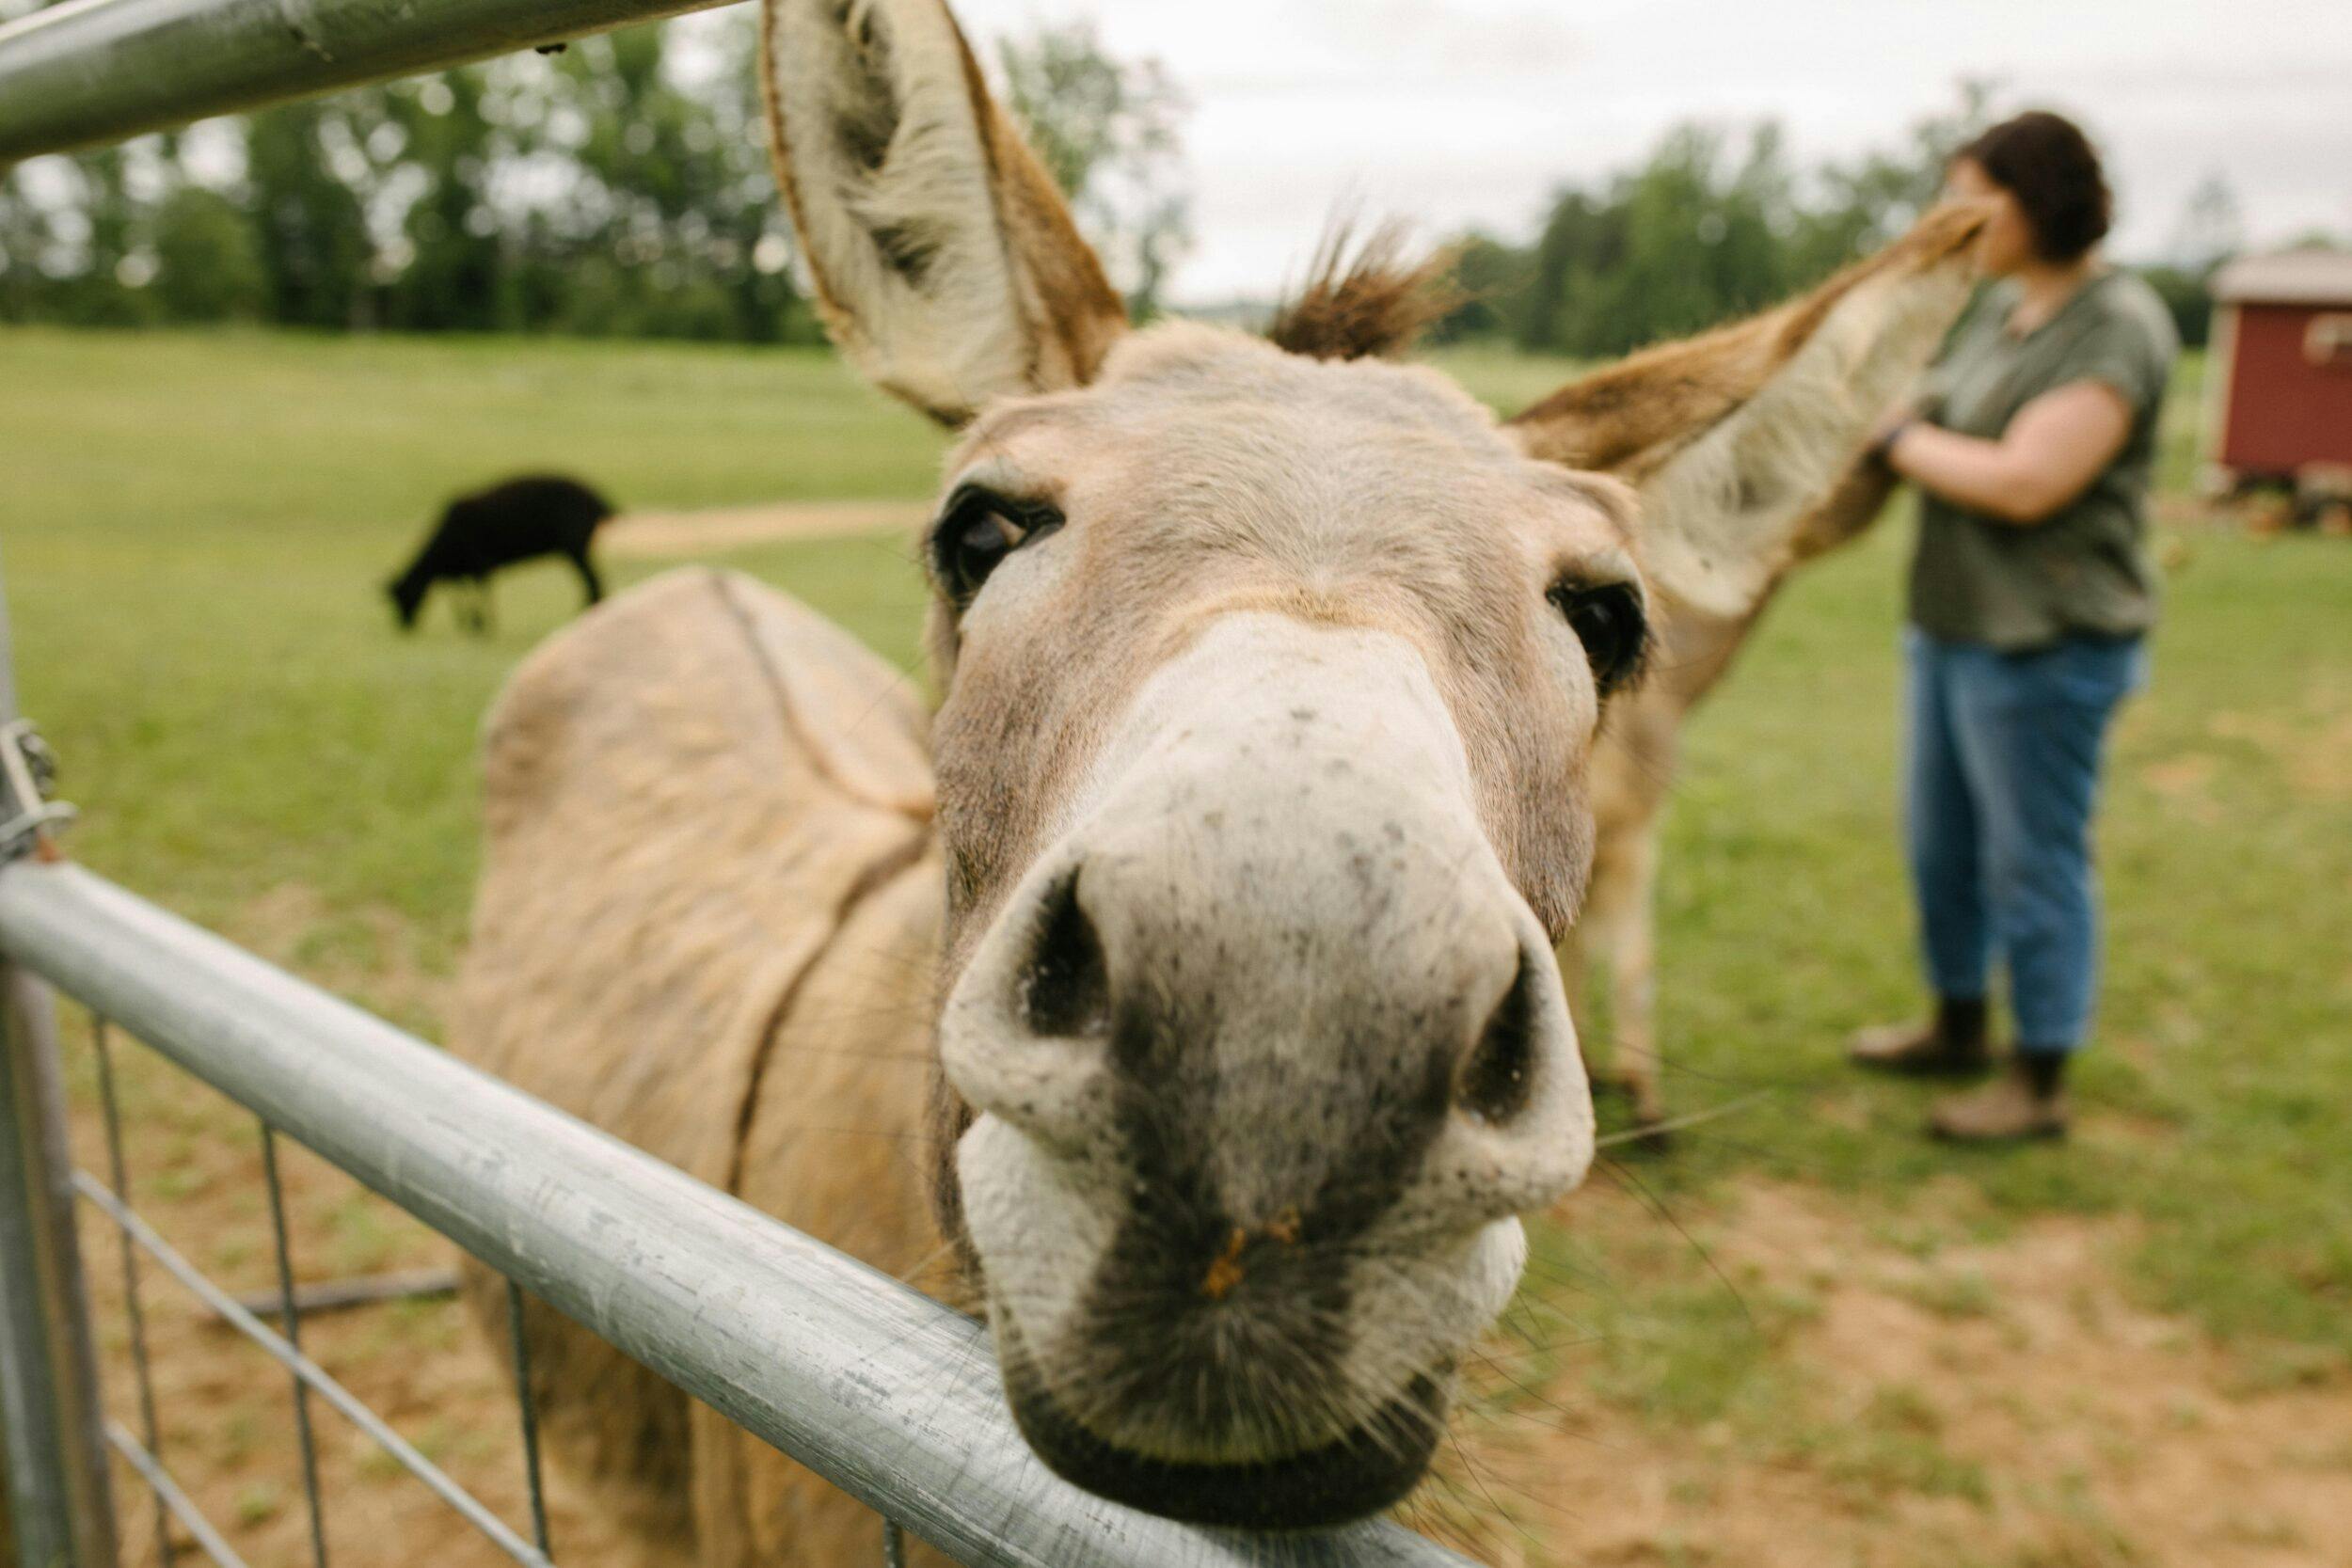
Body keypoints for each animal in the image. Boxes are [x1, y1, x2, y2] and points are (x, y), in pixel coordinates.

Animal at [386, 474, 612, 634]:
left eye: (404, 595)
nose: (403, 627)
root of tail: (599, 501)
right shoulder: (462, 571)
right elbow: (461, 596)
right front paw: (471, 625)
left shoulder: (480, 566)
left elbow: (481, 596)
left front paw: (482, 626)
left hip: (574, 548)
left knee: (592, 581)